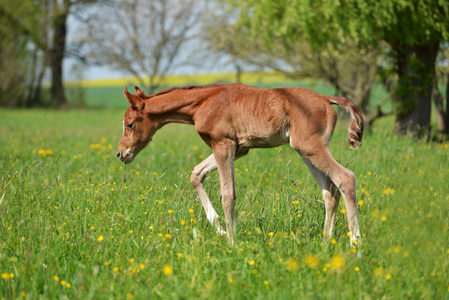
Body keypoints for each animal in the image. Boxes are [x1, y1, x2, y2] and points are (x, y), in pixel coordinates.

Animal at [116, 83, 364, 245]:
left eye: (130, 124)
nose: (121, 154)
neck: (204, 101)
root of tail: (325, 98)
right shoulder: (238, 149)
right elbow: (196, 175)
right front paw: (220, 228)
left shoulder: (223, 145)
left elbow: (228, 195)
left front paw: (232, 241)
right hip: (305, 151)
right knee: (329, 191)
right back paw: (325, 241)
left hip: (311, 148)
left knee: (346, 178)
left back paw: (356, 243)